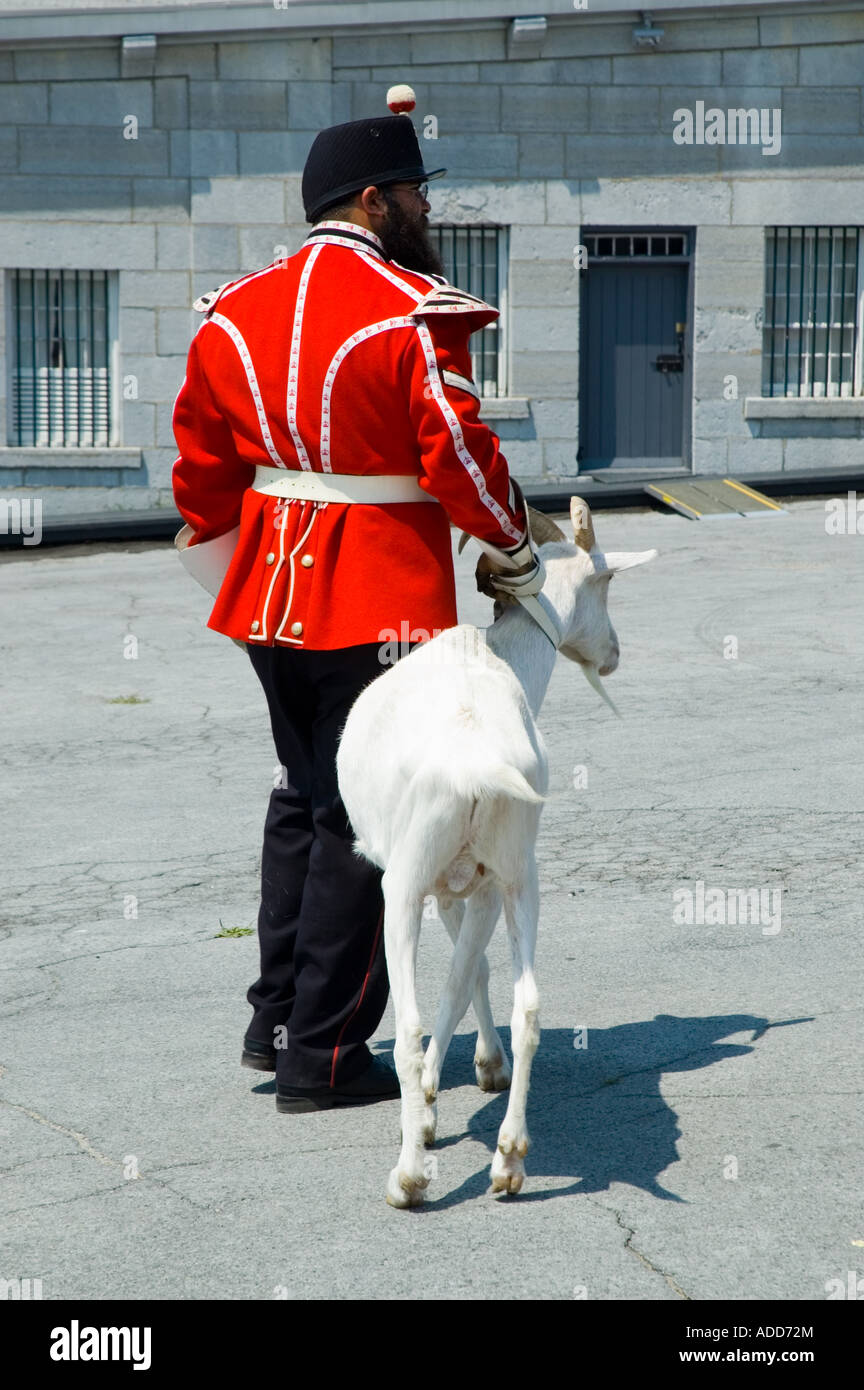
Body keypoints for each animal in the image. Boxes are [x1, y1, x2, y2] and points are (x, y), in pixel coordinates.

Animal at [338, 500, 655, 1206]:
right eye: (607, 584)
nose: (616, 655)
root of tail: (478, 761)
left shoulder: (444, 884)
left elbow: (462, 975)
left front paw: (438, 1101)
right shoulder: (474, 883)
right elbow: (471, 971)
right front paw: (482, 1070)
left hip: (405, 883)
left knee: (409, 1026)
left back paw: (409, 1176)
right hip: (517, 873)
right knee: (528, 1005)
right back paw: (509, 1161)